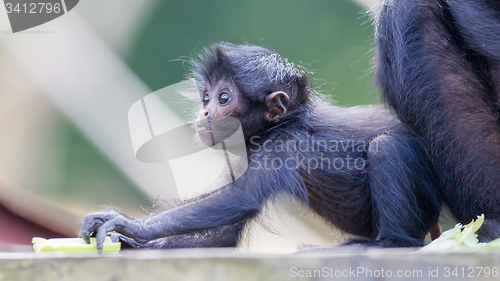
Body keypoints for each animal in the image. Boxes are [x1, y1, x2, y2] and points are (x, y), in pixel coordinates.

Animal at [80, 43, 440, 252]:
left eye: (224, 98)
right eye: (206, 97)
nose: (205, 112)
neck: (285, 122)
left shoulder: (283, 145)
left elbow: (242, 197)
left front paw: (126, 225)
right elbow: (222, 233)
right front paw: (128, 242)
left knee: (386, 146)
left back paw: (389, 243)